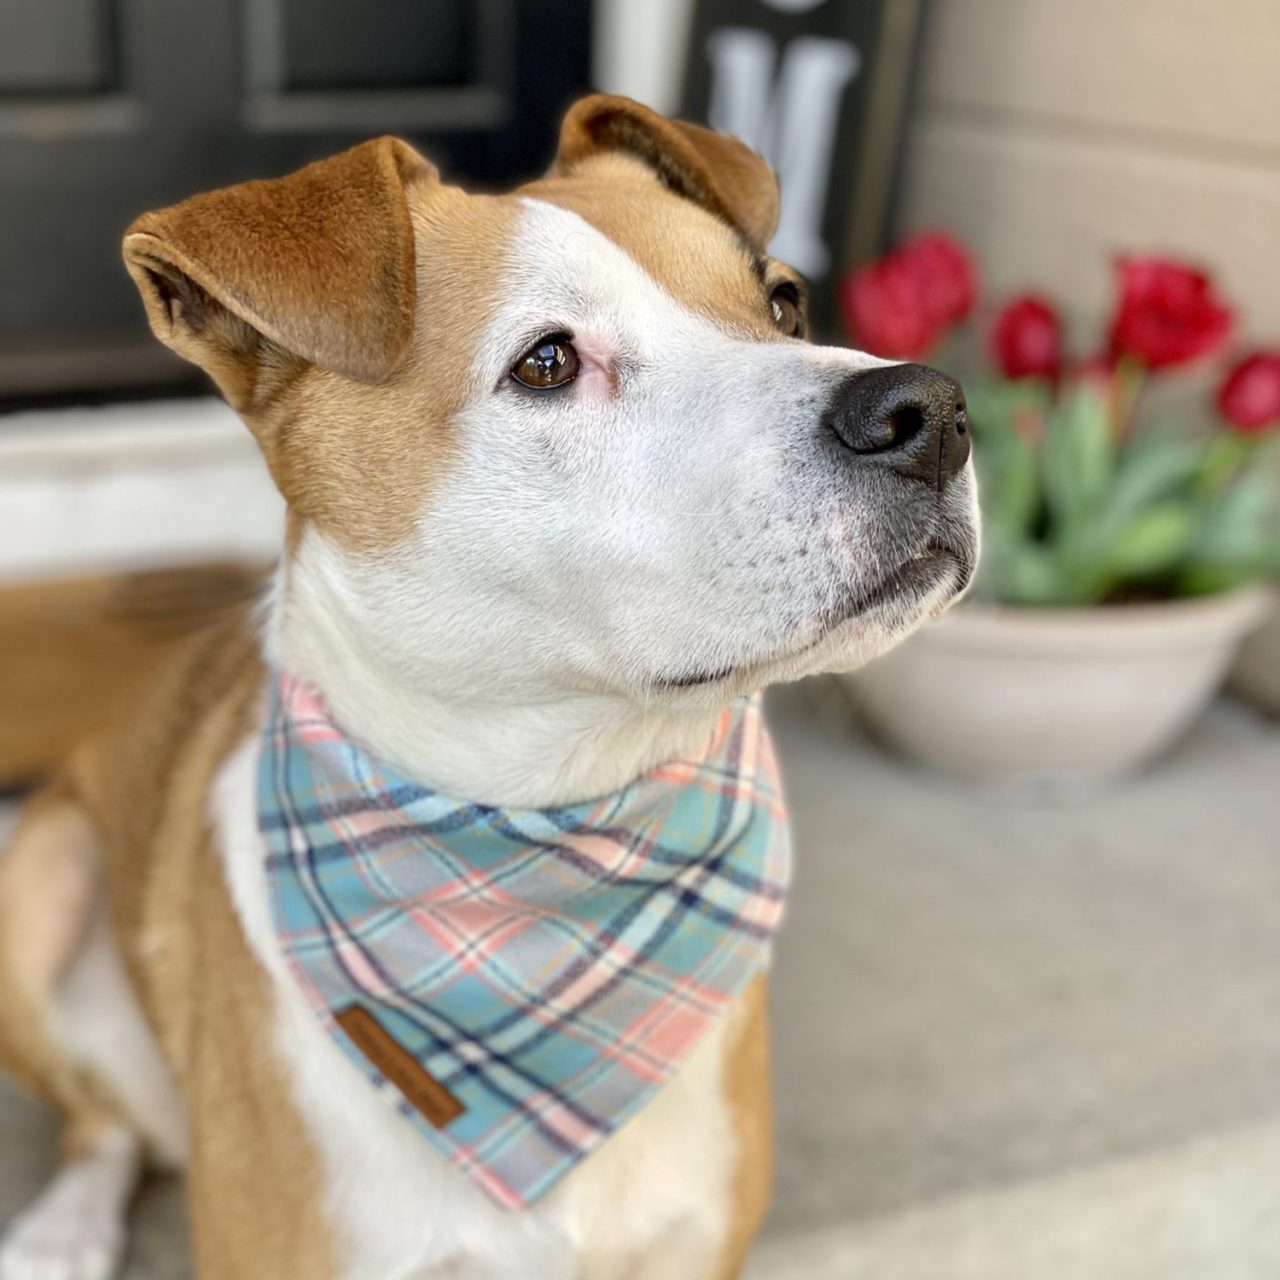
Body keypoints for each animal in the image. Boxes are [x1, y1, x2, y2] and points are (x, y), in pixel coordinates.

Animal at [0, 92, 972, 1280]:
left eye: (783, 301)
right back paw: (63, 1226)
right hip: (41, 874)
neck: (545, 839)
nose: (930, 410)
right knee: (105, 1122)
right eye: (546, 362)